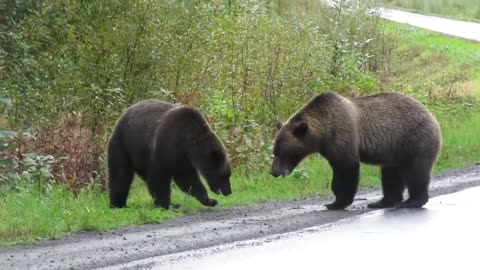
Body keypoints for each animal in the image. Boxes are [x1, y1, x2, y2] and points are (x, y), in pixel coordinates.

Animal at [270, 92, 442, 210]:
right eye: (275, 150)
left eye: (282, 151)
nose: (274, 172)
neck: (323, 133)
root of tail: (432, 117)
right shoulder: (329, 148)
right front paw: (335, 201)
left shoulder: (343, 136)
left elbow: (347, 169)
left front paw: (337, 202)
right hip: (394, 152)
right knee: (391, 175)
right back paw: (382, 202)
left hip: (414, 141)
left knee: (416, 172)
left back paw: (412, 201)